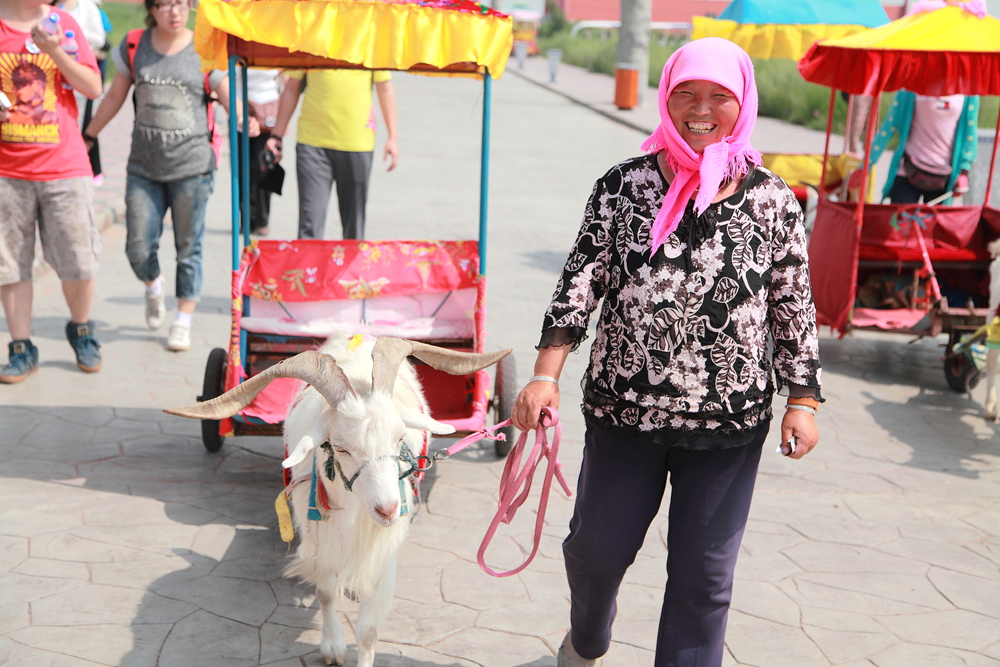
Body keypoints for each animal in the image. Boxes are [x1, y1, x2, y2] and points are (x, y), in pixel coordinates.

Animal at [167, 336, 508, 664]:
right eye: (341, 447)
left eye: (399, 438)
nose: (387, 509)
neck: (356, 511)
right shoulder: (322, 536)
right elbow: (326, 593)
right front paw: (332, 647)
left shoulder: (384, 550)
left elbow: (369, 630)